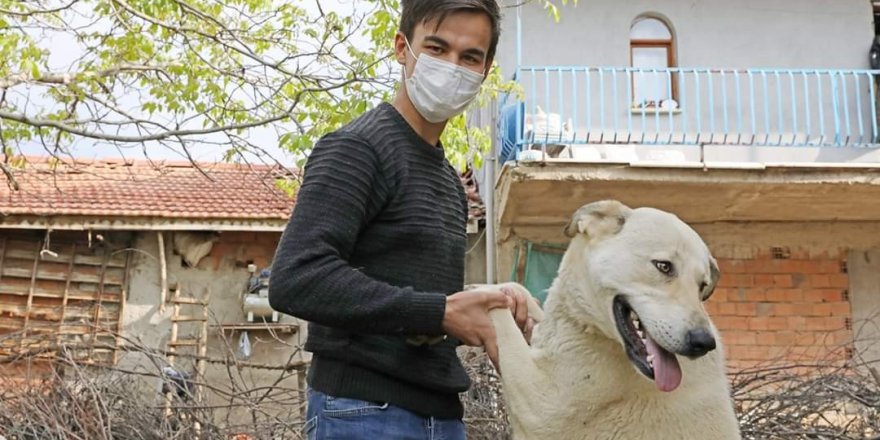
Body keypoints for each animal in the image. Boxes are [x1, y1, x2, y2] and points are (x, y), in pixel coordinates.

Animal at [478, 200, 740, 440]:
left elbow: (502, 320)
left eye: (702, 285)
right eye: (664, 266)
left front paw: (479, 291)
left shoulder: (540, 406)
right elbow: (519, 291)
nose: (703, 343)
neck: (585, 325)